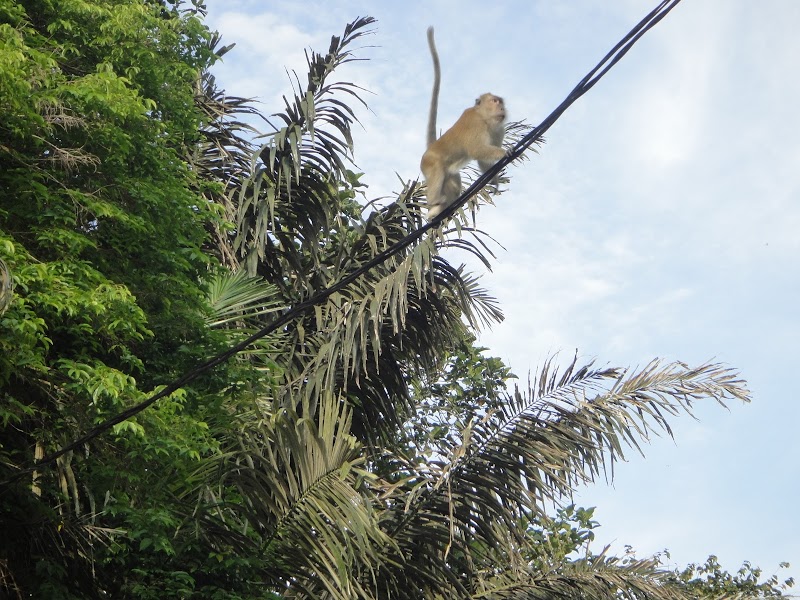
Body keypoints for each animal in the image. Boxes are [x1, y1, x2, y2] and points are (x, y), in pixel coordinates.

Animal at [418, 27, 506, 220]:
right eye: (495, 101)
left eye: (500, 102)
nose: (502, 108)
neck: (484, 117)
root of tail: (431, 147)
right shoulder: (476, 124)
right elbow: (477, 150)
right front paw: (505, 152)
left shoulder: (498, 129)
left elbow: (483, 159)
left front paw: (495, 181)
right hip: (429, 163)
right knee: (436, 171)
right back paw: (435, 202)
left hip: (449, 173)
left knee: (454, 182)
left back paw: (440, 208)